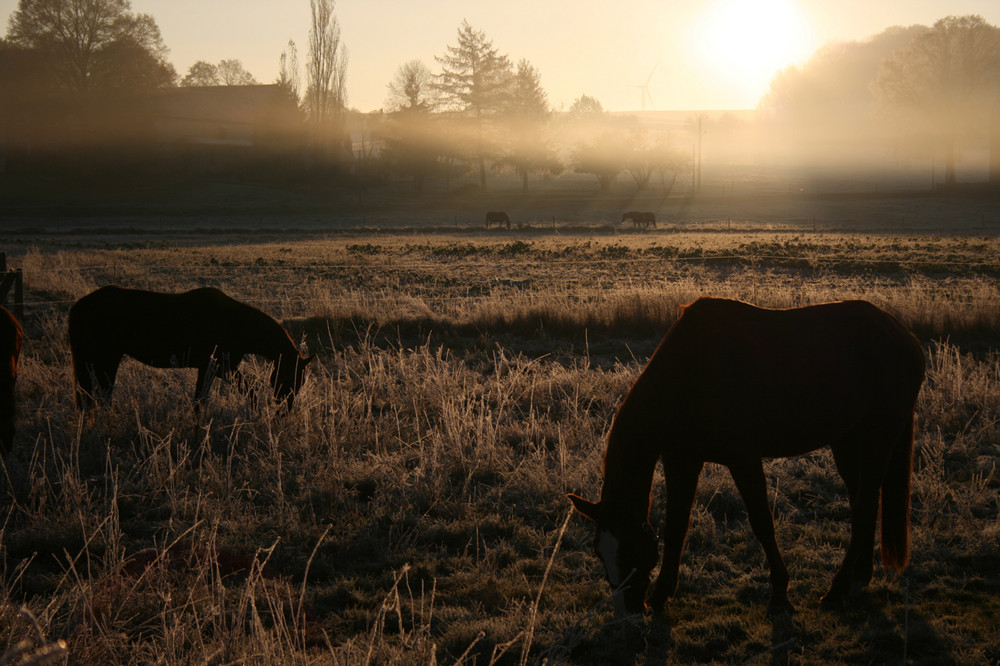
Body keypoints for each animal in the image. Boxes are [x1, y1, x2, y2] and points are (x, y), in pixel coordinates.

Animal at [69, 286, 312, 410]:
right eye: (291, 376)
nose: (286, 407)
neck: (234, 323)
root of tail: (80, 304)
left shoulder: (224, 369)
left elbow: (248, 392)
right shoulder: (211, 367)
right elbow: (200, 400)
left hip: (101, 359)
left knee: (95, 393)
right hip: (106, 358)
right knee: (97, 393)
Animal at [568, 296, 924, 616]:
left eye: (630, 549)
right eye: (599, 552)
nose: (627, 611)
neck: (690, 375)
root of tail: (904, 336)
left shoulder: (743, 459)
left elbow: (762, 521)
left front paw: (780, 592)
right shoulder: (681, 460)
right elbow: (676, 525)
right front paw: (660, 596)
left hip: (878, 437)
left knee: (863, 507)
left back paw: (836, 591)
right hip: (847, 440)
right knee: (864, 501)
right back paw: (858, 579)